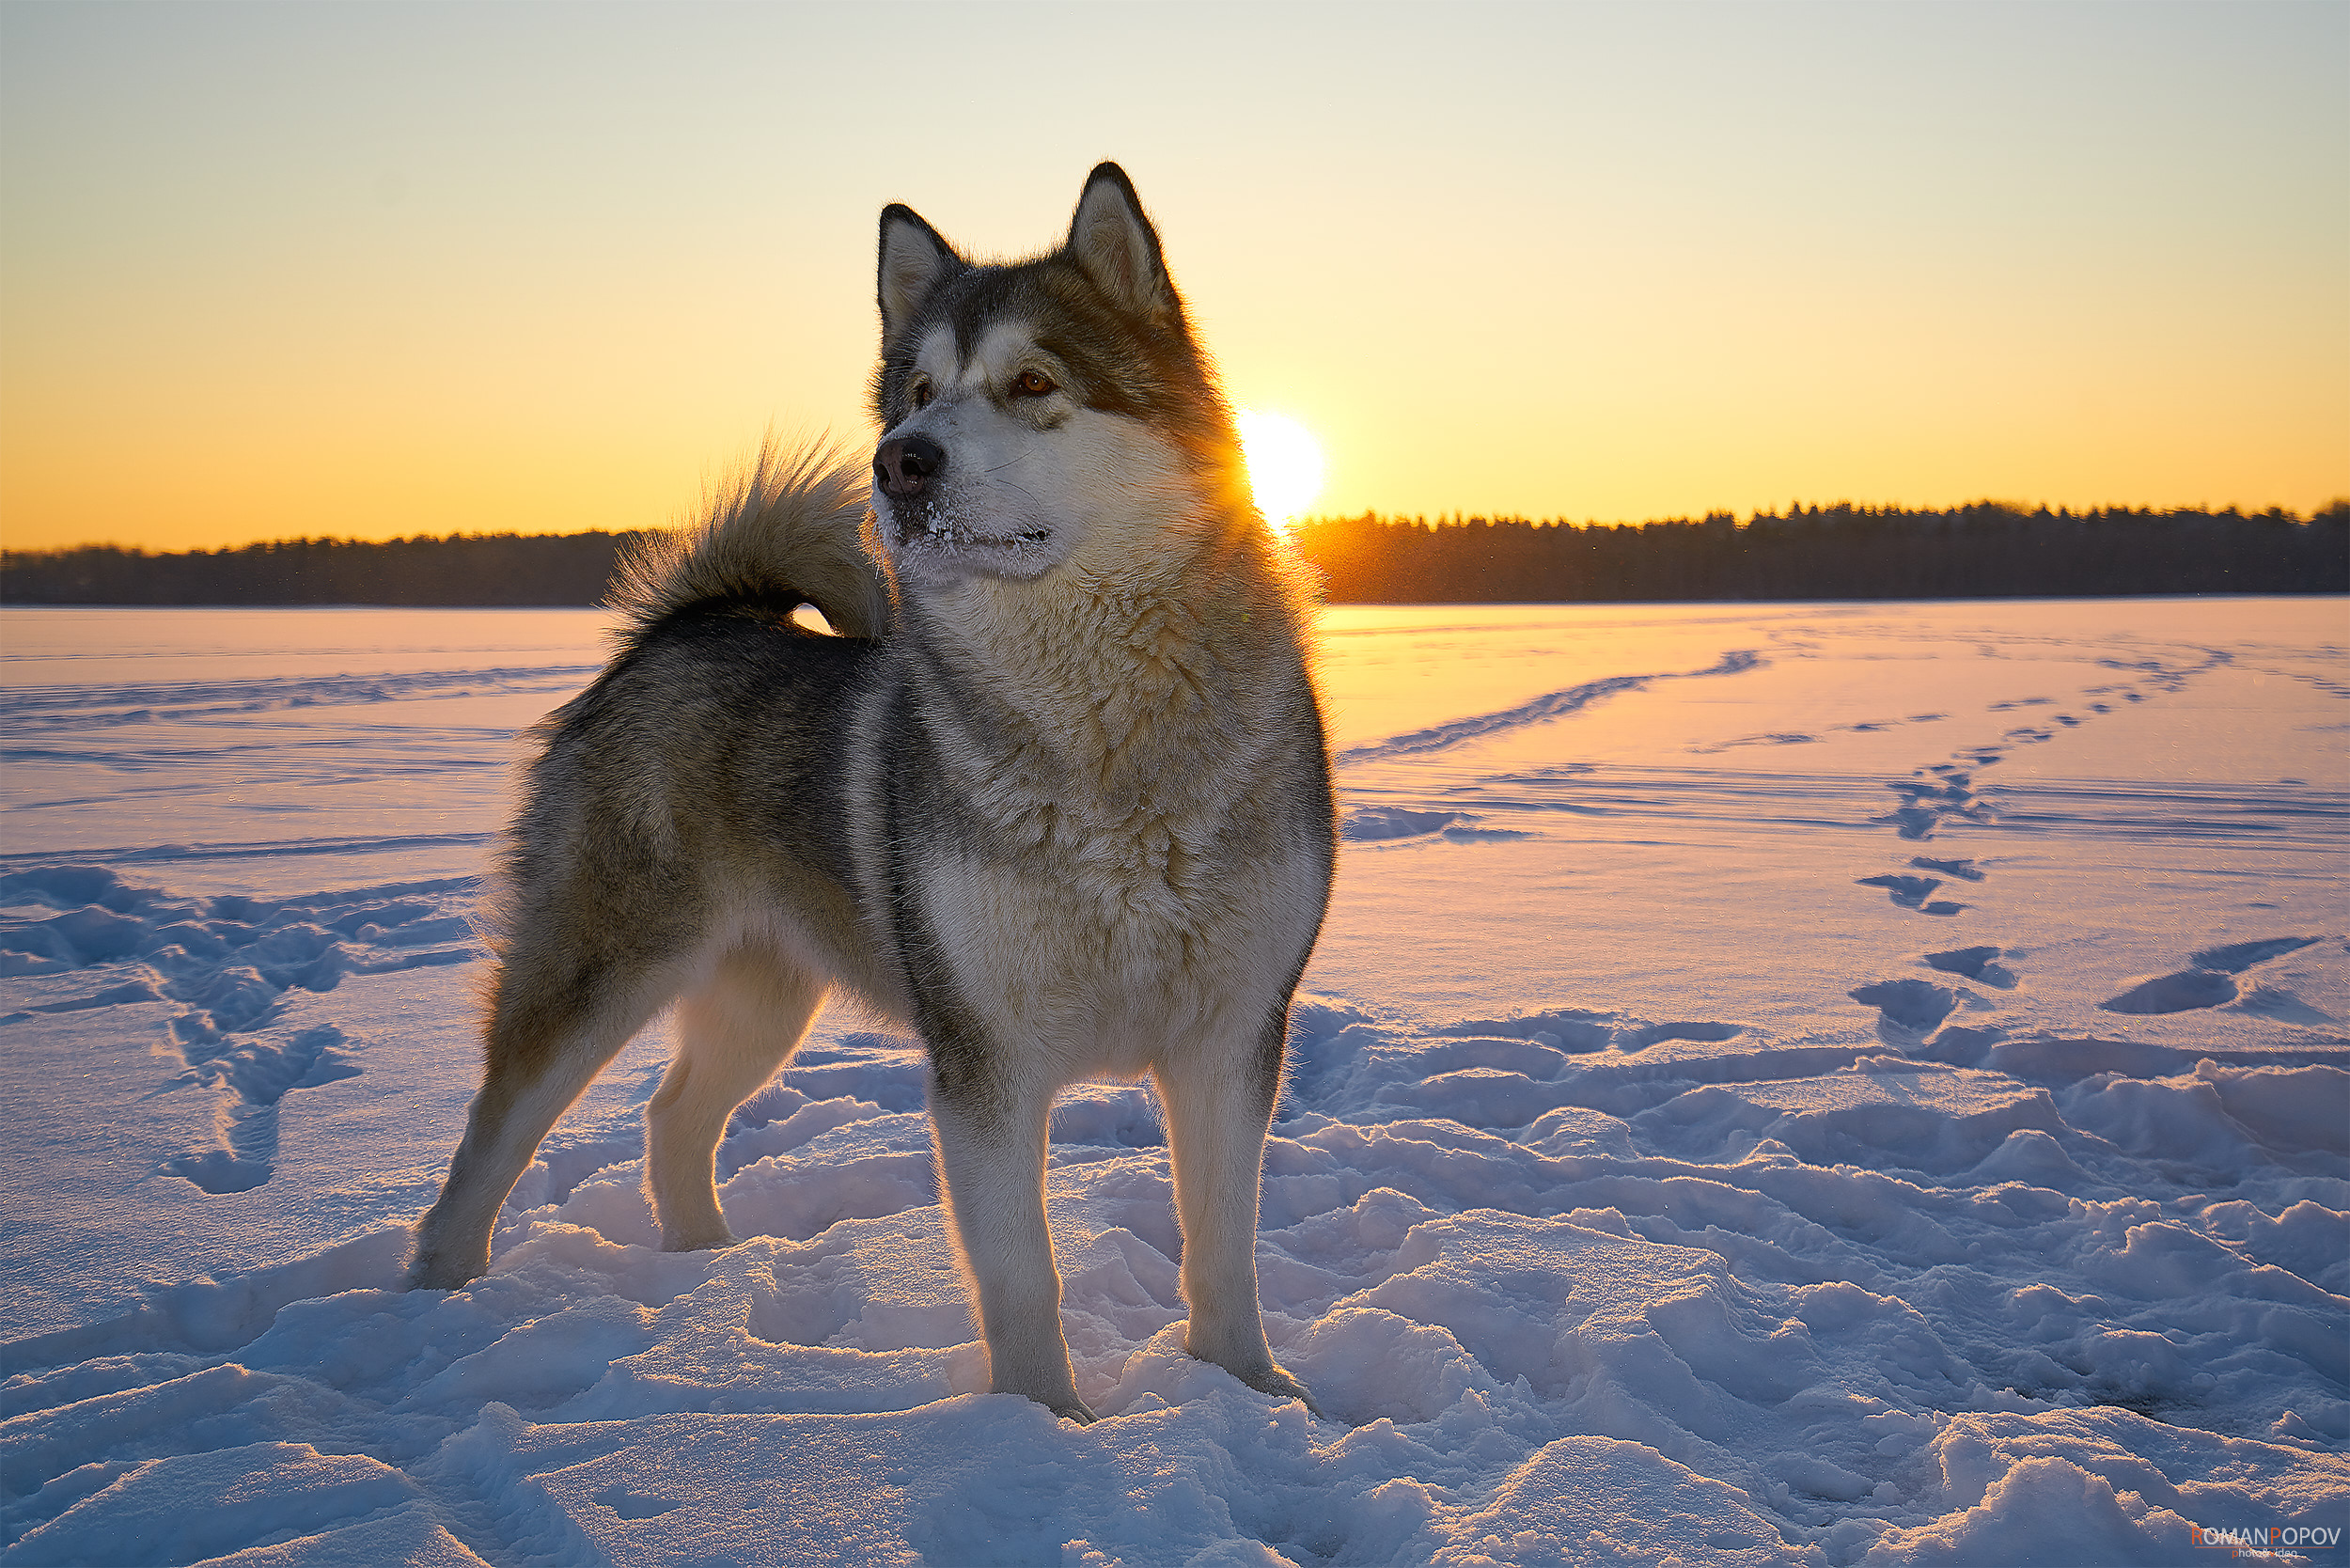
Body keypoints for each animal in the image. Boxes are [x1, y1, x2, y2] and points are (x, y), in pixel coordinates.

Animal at [411, 169, 1335, 1419]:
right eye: (919, 393)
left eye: (1033, 382)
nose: (901, 460)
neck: (1108, 752)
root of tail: (689, 626)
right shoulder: (986, 1058)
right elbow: (1024, 1276)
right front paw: (1045, 1427)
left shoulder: (1232, 1035)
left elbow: (1223, 1247)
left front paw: (1250, 1392)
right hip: (599, 965)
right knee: (490, 1133)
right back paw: (433, 1300)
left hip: (765, 994)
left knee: (673, 1116)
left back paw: (707, 1268)